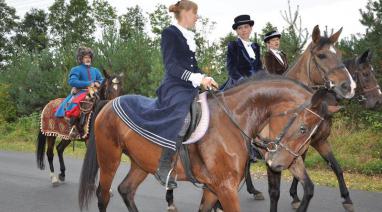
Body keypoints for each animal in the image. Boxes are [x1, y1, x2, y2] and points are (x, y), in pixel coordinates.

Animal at [78, 75, 334, 211]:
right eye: (303, 128)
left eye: (312, 134)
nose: (279, 164)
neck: (232, 122)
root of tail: (108, 104)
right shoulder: (226, 189)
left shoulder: (214, 189)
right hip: (109, 159)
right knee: (103, 194)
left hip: (141, 164)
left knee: (126, 190)